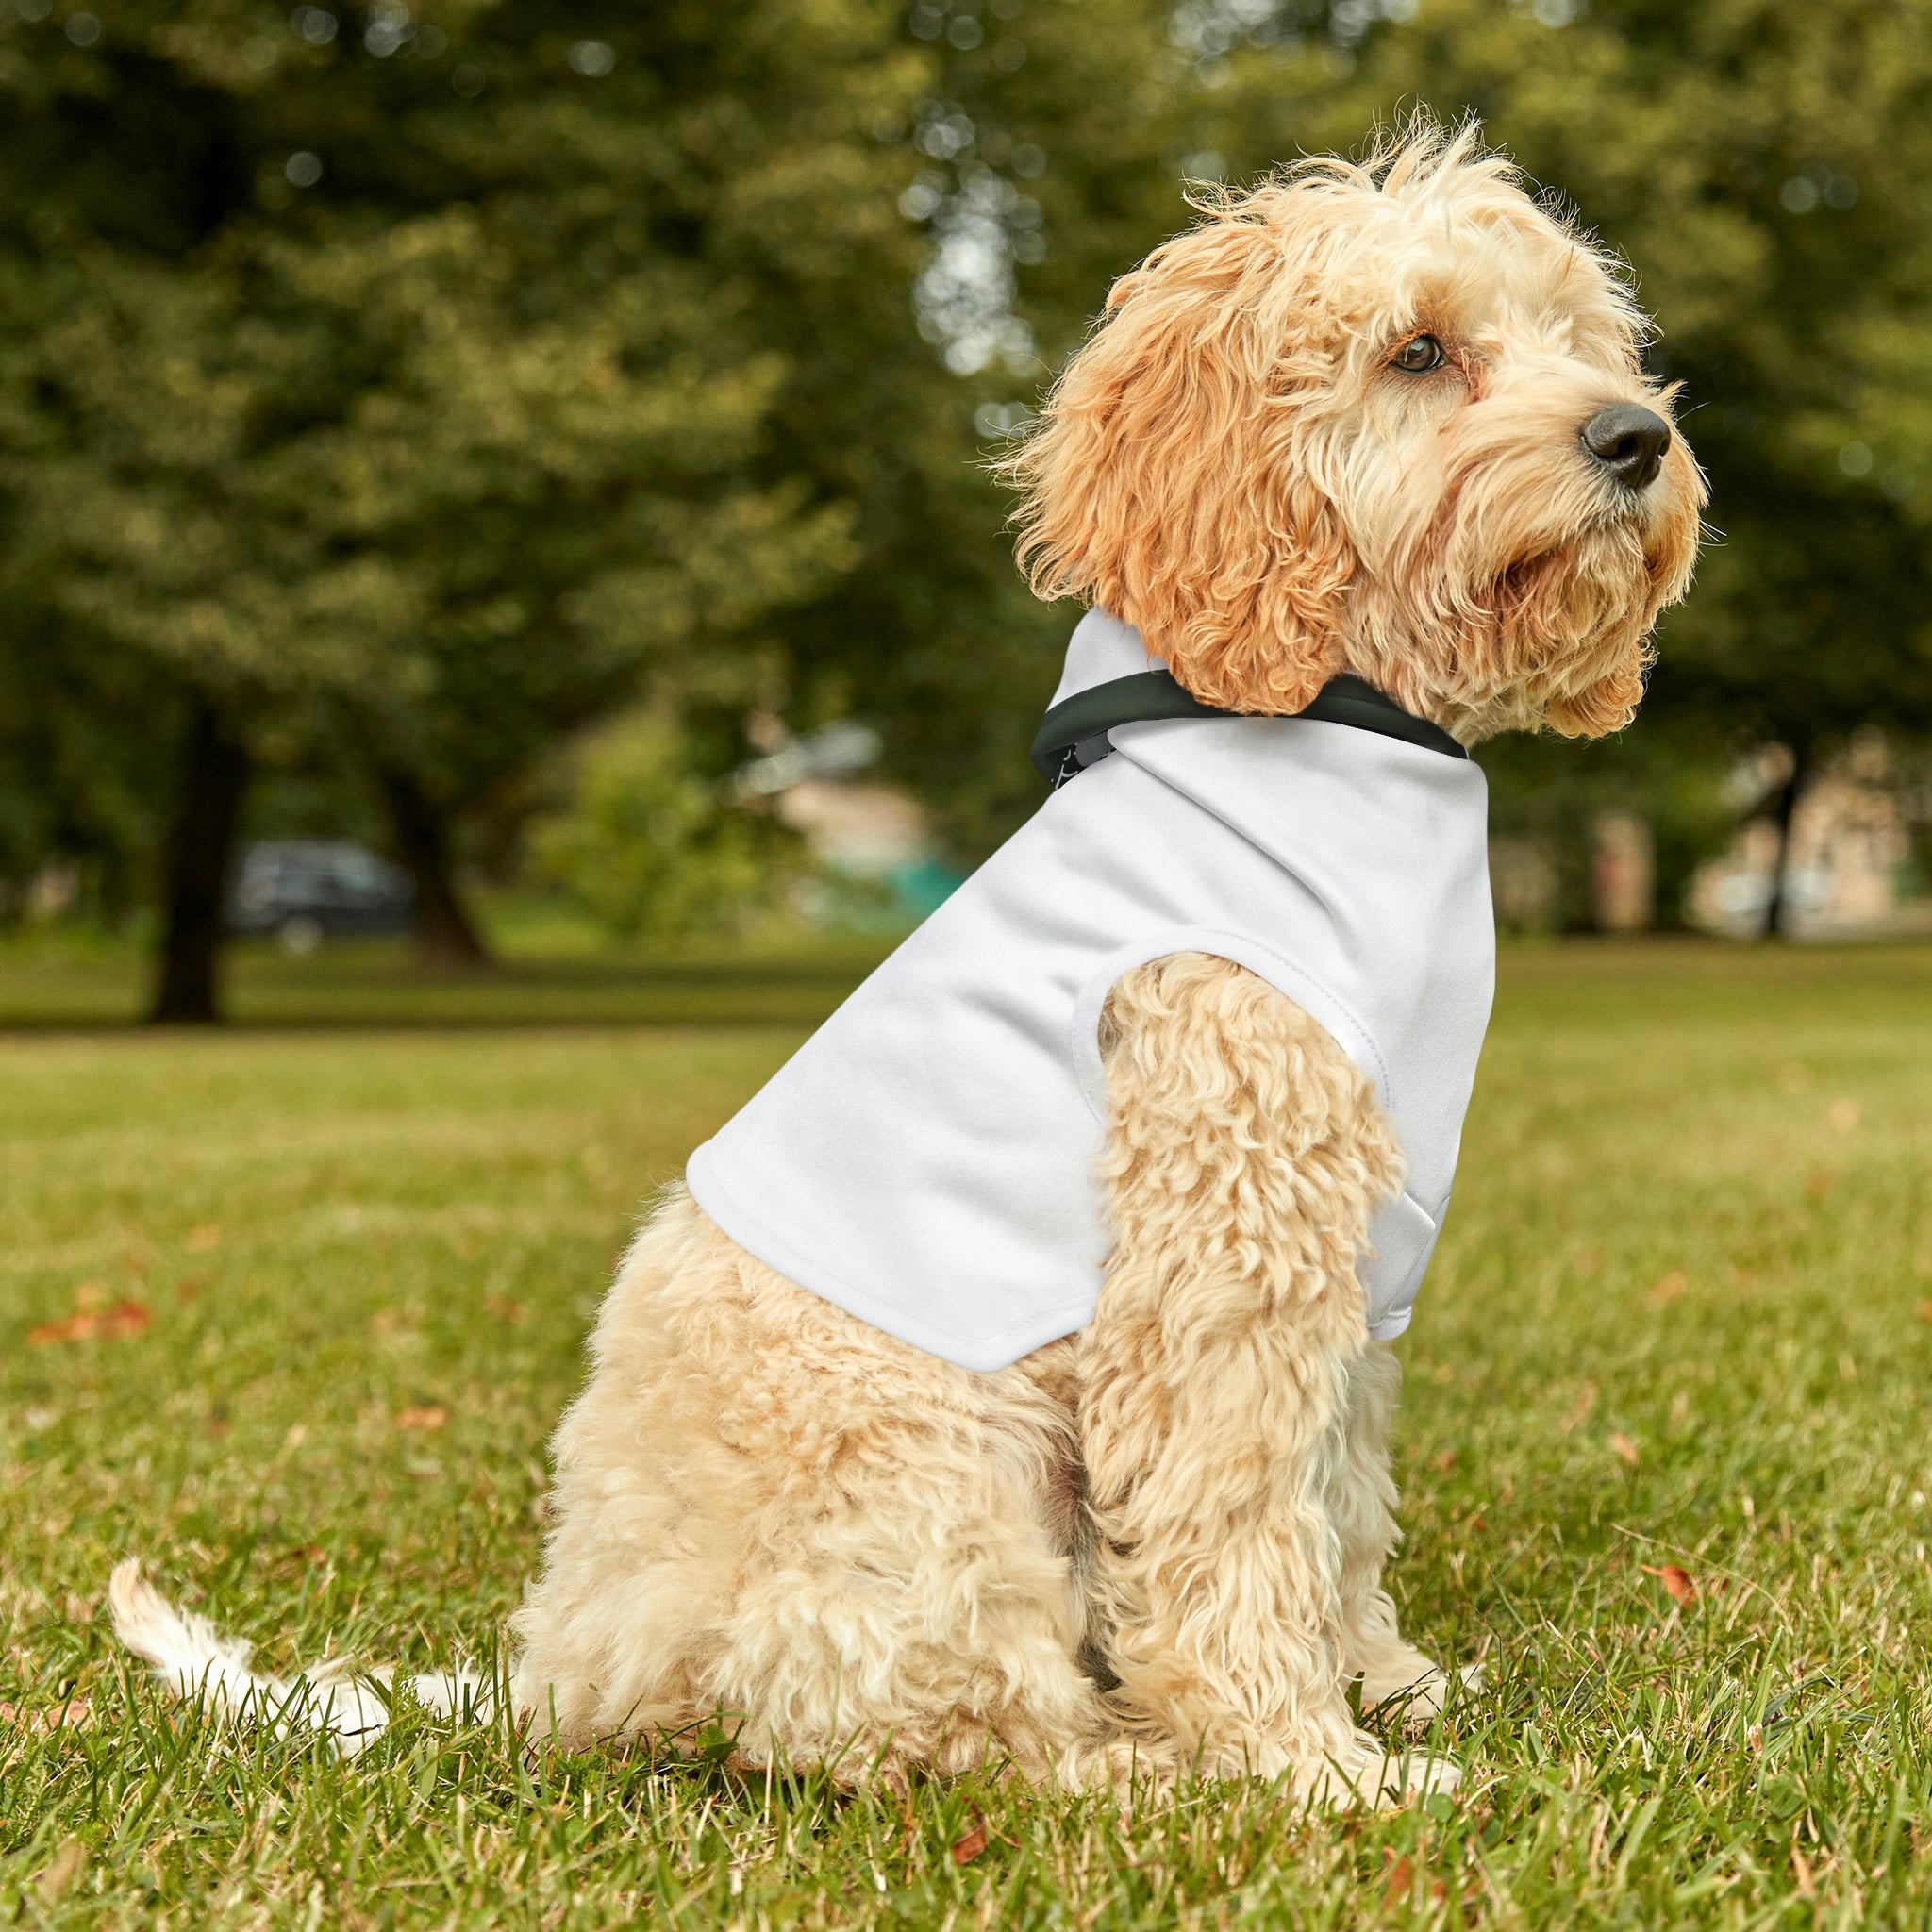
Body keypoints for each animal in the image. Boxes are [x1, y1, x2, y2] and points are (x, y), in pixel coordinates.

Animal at [112, 121, 1700, 1807]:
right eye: (1419, 351)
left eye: (1582, 338)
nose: (1636, 438)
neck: (1334, 724)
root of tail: (566, 1668)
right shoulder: (1224, 1255)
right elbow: (1237, 1525)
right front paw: (1310, 1766)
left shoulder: (1351, 1266)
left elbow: (1339, 1503)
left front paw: (1388, 1688)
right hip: (941, 1472)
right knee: (941, 1729)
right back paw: (1141, 1771)